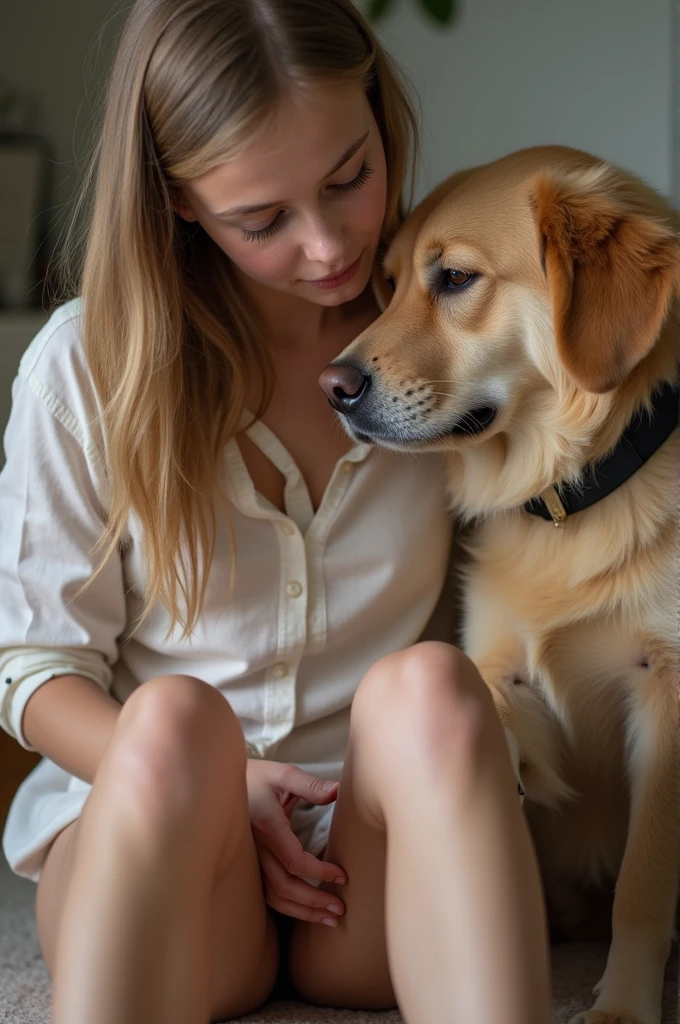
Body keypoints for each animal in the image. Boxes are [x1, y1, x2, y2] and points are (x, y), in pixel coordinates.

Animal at [319, 146, 680, 1024]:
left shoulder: (668, 691)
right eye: (388, 285)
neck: (573, 500)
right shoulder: (497, 668)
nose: (332, 386)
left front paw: (624, 1003)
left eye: (453, 278)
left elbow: (644, 883)